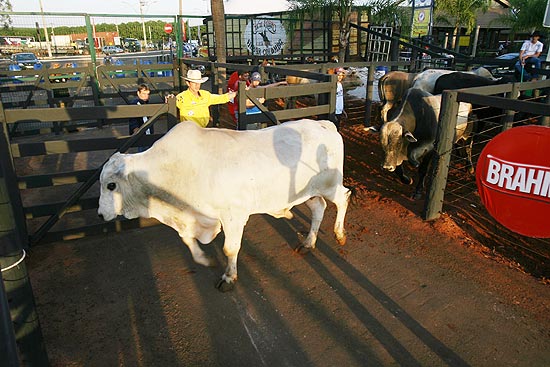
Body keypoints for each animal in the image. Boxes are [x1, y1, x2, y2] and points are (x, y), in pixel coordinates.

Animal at [98, 121, 350, 294]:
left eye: (111, 185)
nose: (100, 214)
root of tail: (324, 124)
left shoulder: (233, 216)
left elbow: (230, 248)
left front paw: (229, 278)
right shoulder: (192, 217)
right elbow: (188, 240)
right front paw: (205, 259)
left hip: (329, 185)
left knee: (343, 198)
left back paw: (339, 234)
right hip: (307, 192)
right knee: (318, 208)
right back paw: (308, 243)